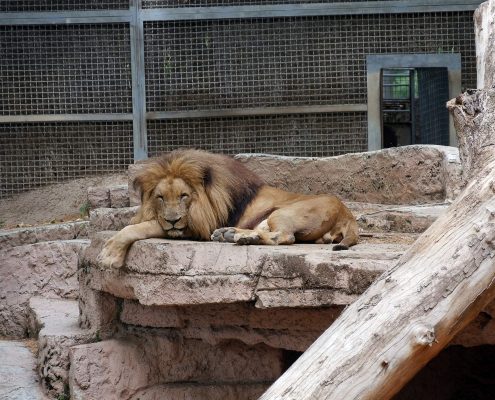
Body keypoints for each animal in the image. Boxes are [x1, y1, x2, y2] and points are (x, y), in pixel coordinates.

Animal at [98, 150, 360, 268]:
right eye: (160, 197)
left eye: (184, 196)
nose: (172, 220)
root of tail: (347, 213)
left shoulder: (198, 226)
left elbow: (138, 227)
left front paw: (109, 254)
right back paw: (231, 234)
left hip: (283, 212)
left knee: (284, 237)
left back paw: (240, 237)